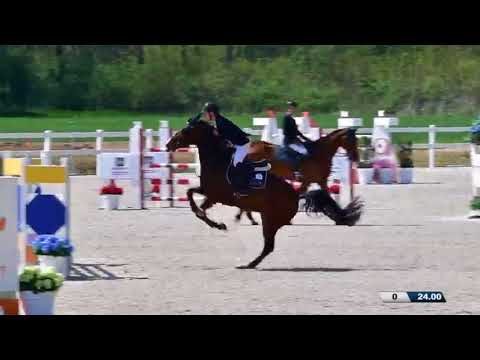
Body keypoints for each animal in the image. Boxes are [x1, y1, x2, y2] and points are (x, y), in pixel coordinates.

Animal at [166, 119, 364, 268]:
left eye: (186, 130)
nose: (169, 144)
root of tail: (294, 197)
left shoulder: (217, 195)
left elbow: (197, 206)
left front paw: (219, 224)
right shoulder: (210, 194)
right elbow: (194, 200)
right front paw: (218, 224)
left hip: (269, 220)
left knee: (268, 246)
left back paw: (249, 263)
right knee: (268, 244)